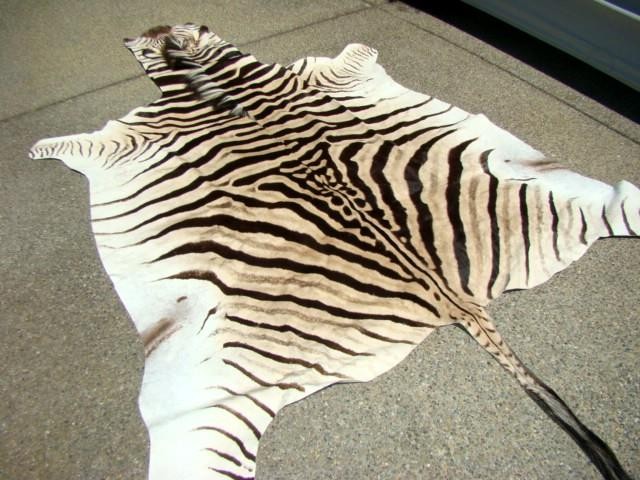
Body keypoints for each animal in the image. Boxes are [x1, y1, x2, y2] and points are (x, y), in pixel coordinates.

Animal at [29, 23, 638, 480]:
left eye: (167, 36)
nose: (150, 29)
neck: (207, 78)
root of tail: (452, 299)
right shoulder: (144, 133)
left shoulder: (134, 136)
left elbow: (82, 142)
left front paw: (36, 148)